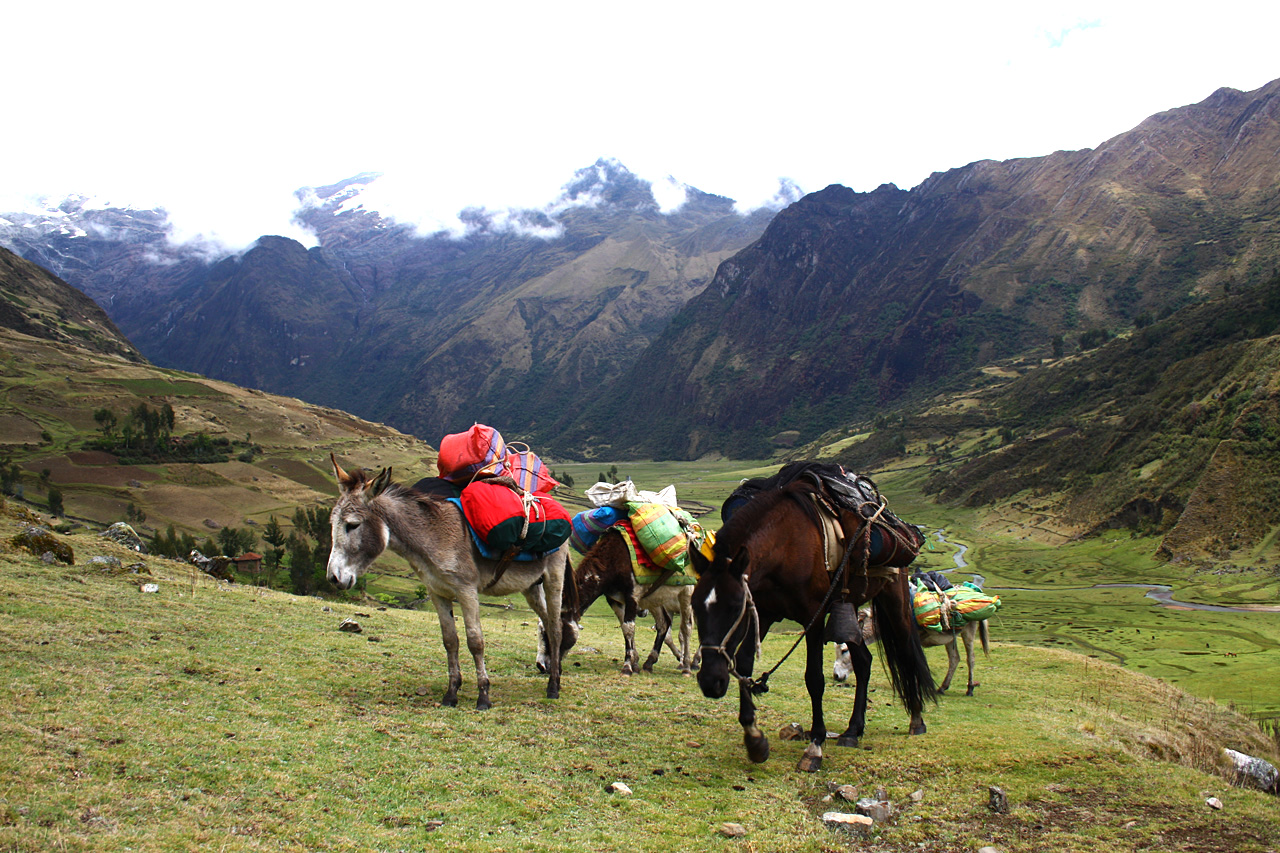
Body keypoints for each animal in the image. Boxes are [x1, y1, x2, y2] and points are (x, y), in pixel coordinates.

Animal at [325, 455, 570, 706]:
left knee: (556, 628)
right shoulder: (437, 592)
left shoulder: (467, 591)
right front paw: (451, 693)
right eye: (332, 525)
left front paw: (483, 696)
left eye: (353, 525)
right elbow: (450, 640)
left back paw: (553, 687)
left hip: (553, 578)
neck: (433, 535)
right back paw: (555, 674)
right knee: (548, 623)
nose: (333, 578)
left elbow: (475, 641)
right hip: (531, 587)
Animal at [691, 473, 942, 768]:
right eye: (695, 606)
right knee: (863, 661)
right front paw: (754, 739)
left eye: (734, 607)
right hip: (849, 607)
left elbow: (814, 678)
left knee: (906, 651)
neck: (786, 545)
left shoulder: (814, 616)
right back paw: (853, 731)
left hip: (894, 599)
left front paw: (815, 745)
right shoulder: (762, 613)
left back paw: (916, 719)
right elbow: (744, 665)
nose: (711, 682)